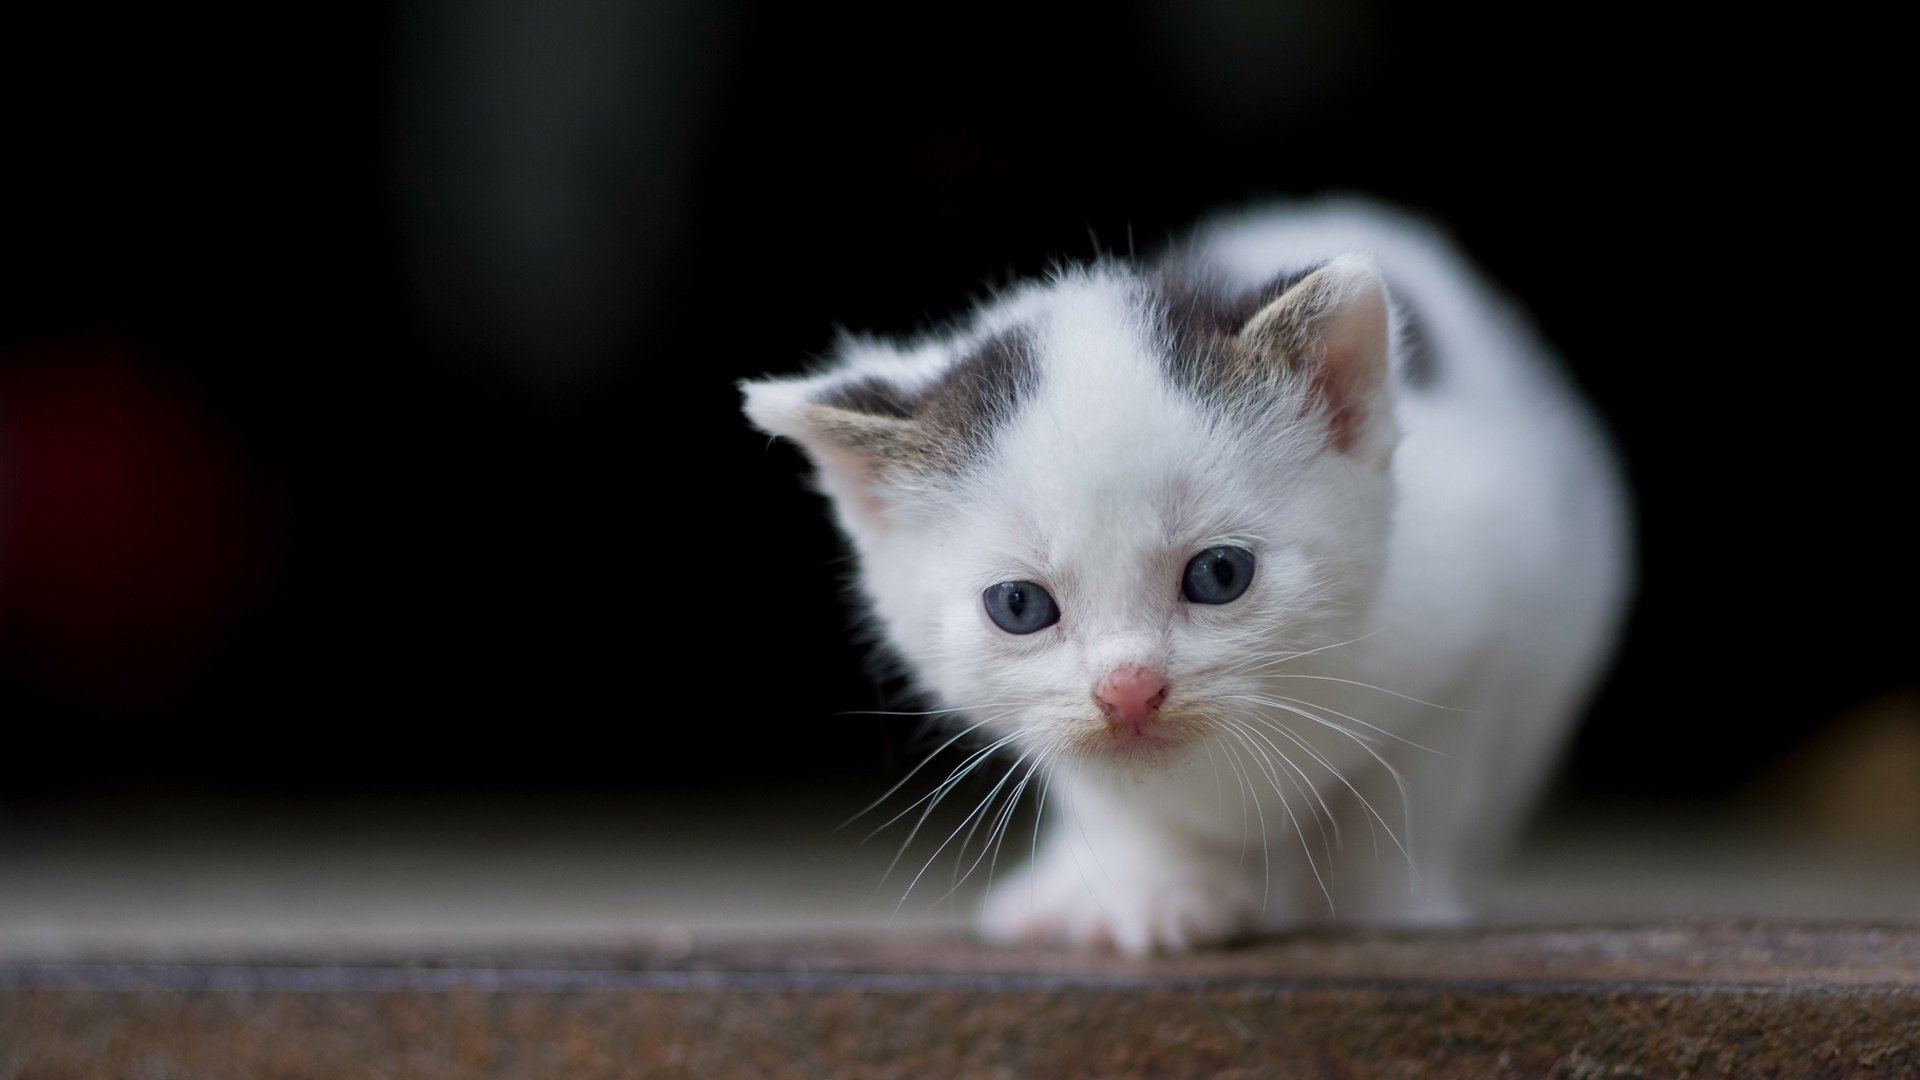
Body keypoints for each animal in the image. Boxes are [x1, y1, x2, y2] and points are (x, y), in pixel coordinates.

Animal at [741, 197, 1628, 945]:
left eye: (1219, 575)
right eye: (1019, 605)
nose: (1129, 689)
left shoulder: (1477, 615)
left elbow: (1412, 787)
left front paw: (1381, 905)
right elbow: (1123, 808)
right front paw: (1158, 896)